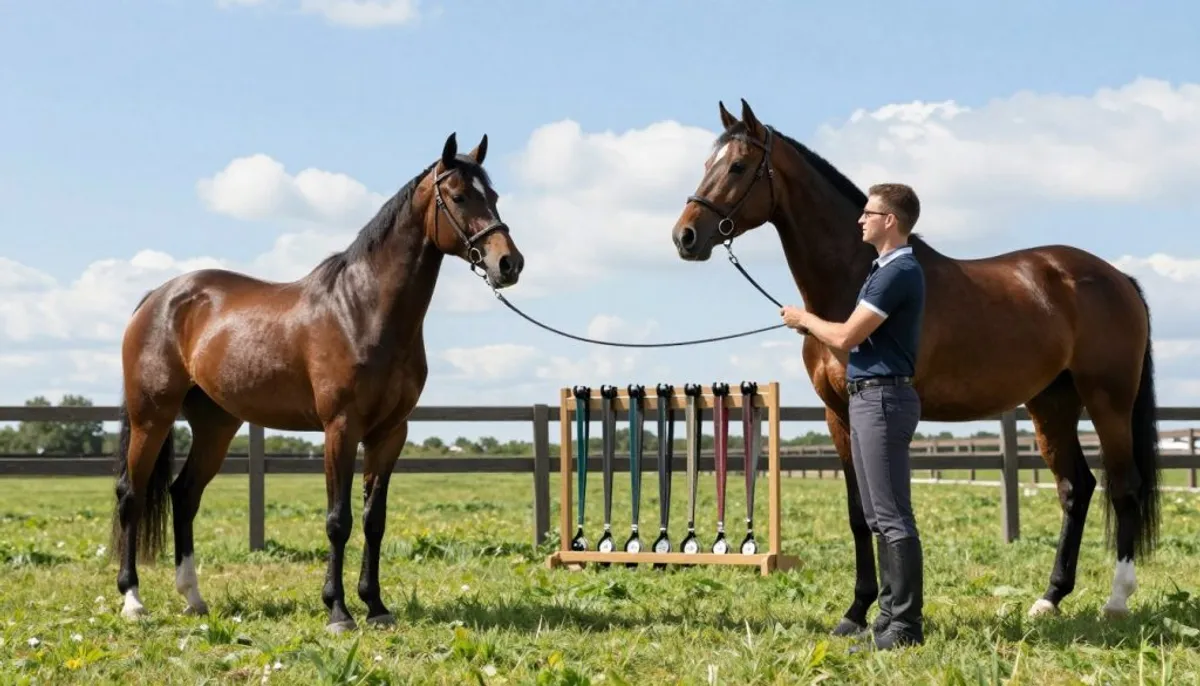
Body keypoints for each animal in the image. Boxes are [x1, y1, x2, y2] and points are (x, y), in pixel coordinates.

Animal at [108, 132, 524, 634]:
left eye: (494, 196)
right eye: (460, 197)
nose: (509, 263)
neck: (361, 310)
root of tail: (158, 297)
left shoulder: (390, 433)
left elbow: (374, 520)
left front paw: (376, 606)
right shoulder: (340, 428)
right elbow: (338, 520)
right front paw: (338, 611)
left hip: (216, 425)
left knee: (184, 495)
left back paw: (193, 597)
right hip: (152, 416)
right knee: (131, 495)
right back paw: (132, 600)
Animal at [670, 99, 1161, 633]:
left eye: (738, 166)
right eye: (707, 163)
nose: (685, 236)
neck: (852, 286)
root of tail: (1117, 278)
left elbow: (886, 510)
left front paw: (884, 611)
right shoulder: (838, 416)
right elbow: (859, 514)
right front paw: (858, 611)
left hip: (1108, 401)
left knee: (1125, 488)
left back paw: (1117, 600)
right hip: (1051, 403)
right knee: (1076, 488)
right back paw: (1050, 598)